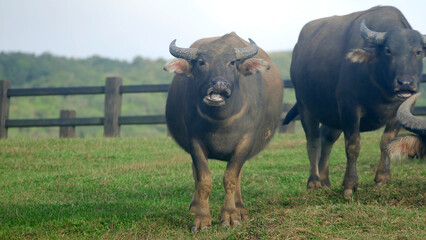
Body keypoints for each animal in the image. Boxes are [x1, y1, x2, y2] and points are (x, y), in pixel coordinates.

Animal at [163, 32, 282, 232]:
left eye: (232, 62)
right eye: (201, 62)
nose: (219, 84)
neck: (221, 121)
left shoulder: (246, 142)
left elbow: (231, 178)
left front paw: (231, 216)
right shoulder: (194, 142)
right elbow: (204, 180)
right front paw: (202, 219)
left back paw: (240, 208)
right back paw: (194, 206)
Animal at [282, 6, 426, 197]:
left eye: (418, 51)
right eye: (388, 50)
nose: (405, 83)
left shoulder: (400, 111)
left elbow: (387, 142)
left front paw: (382, 178)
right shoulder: (349, 109)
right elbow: (353, 145)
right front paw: (350, 185)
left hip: (332, 116)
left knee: (326, 138)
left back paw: (325, 181)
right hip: (305, 105)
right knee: (313, 140)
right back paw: (314, 182)